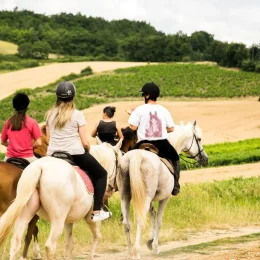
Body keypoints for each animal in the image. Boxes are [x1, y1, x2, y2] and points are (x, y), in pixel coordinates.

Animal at [117, 121, 208, 258]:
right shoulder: (164, 198)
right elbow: (159, 221)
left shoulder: (150, 200)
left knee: (126, 223)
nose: (205, 159)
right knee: (140, 220)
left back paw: (130, 251)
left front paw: (150, 241)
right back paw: (136, 251)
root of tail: (135, 156)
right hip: (144, 198)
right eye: (199, 139)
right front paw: (155, 246)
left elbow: (153, 215)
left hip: (125, 197)